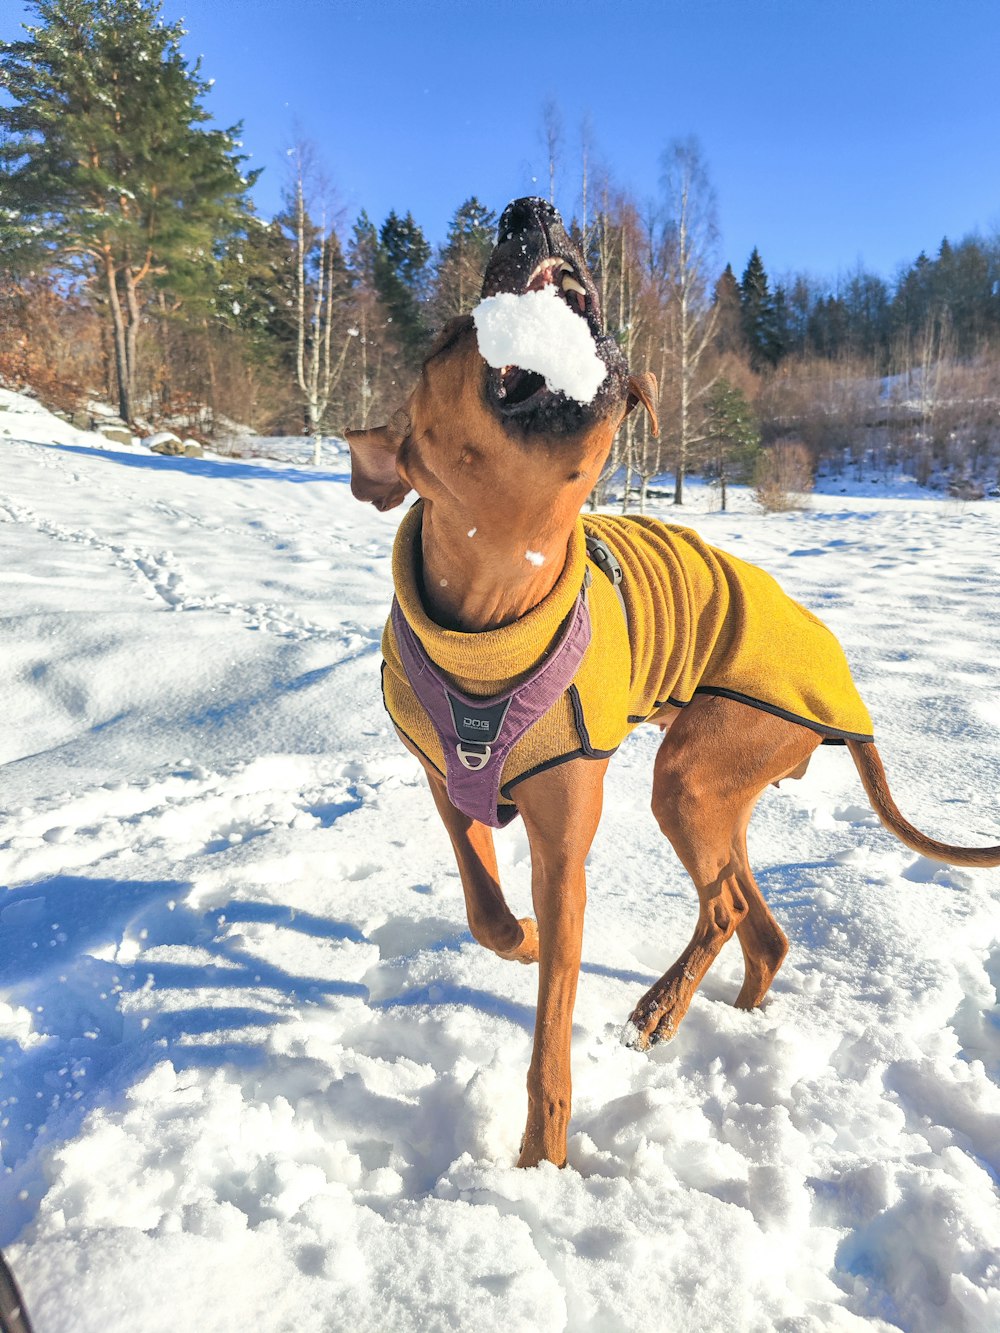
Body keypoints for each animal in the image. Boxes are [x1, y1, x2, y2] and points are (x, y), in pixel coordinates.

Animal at [346, 197, 1000, 1167]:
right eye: (453, 337)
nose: (532, 209)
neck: (494, 619)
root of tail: (848, 691)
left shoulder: (564, 850)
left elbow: (548, 1043)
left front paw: (540, 1167)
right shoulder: (444, 782)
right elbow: (484, 910)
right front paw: (520, 940)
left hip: (693, 773)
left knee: (726, 906)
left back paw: (661, 1006)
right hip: (715, 791)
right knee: (761, 924)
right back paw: (721, 1015)